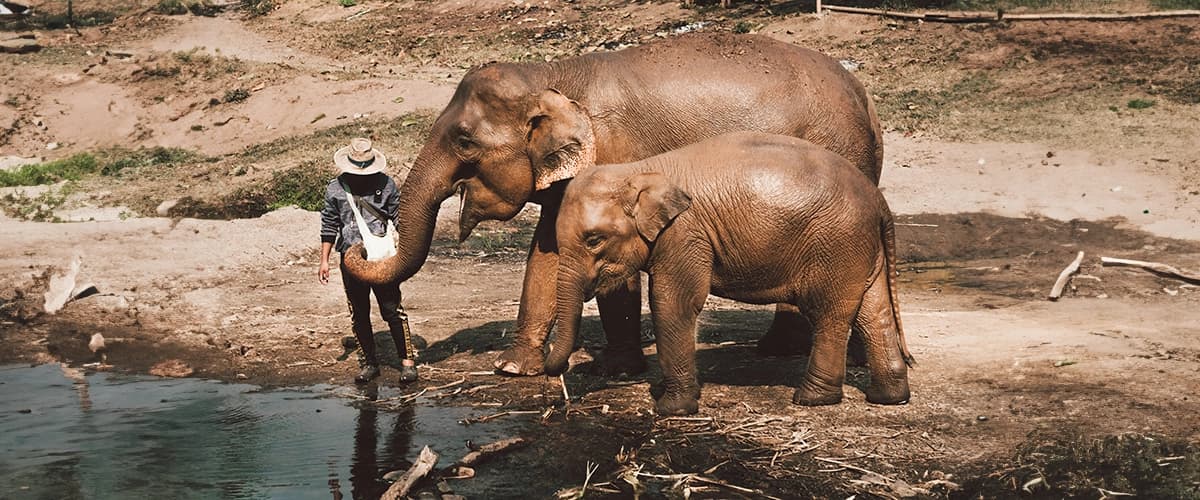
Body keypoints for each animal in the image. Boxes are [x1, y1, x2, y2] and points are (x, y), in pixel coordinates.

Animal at [343, 32, 888, 374]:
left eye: (464, 141)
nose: (355, 247)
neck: (553, 75)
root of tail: (866, 97)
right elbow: (546, 253)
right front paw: (513, 368)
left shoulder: (617, 155)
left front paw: (614, 369)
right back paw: (787, 352)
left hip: (838, 152)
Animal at [544, 131, 907, 412]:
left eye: (594, 240)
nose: (560, 380)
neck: (639, 171)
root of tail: (878, 200)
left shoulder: (684, 233)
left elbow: (673, 303)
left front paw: (671, 409)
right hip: (859, 247)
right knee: (873, 312)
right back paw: (889, 397)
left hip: (837, 244)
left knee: (829, 314)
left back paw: (811, 399)